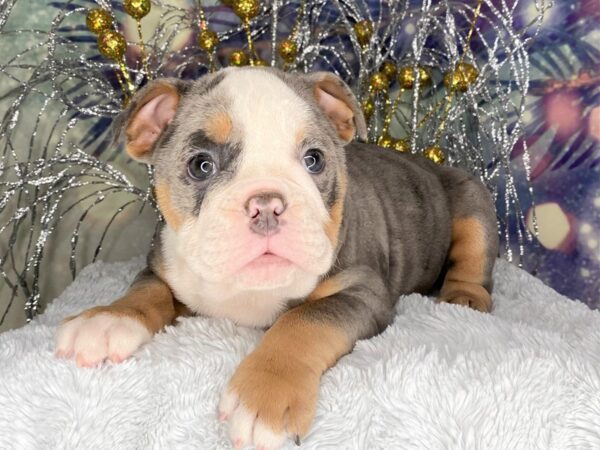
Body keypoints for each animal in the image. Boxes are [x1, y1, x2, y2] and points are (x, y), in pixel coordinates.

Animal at [55, 67, 496, 450]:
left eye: (314, 159)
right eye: (201, 165)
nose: (267, 205)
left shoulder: (361, 290)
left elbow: (303, 321)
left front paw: (264, 395)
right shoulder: (162, 266)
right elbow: (147, 291)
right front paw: (107, 318)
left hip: (472, 198)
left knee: (474, 259)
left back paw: (464, 297)